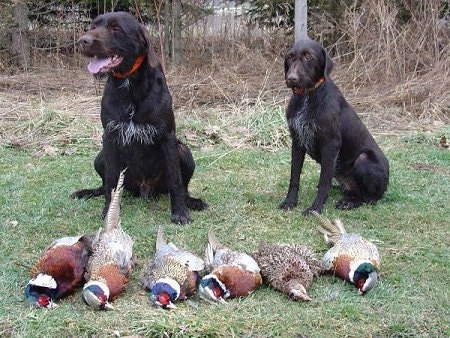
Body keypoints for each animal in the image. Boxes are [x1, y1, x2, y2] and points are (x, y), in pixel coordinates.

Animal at [72, 12, 207, 224]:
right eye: (93, 26)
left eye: (115, 28)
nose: (82, 41)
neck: (130, 85)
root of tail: (144, 188)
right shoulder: (109, 137)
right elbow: (110, 181)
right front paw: (108, 212)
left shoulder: (167, 136)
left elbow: (175, 180)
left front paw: (180, 212)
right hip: (100, 157)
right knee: (103, 185)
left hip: (183, 150)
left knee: (183, 186)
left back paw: (191, 201)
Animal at [282, 37, 390, 217]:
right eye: (290, 56)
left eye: (308, 57)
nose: (291, 78)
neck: (308, 96)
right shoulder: (297, 141)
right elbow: (294, 177)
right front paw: (290, 201)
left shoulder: (330, 144)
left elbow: (324, 181)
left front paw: (315, 208)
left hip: (364, 159)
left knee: (369, 198)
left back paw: (349, 203)